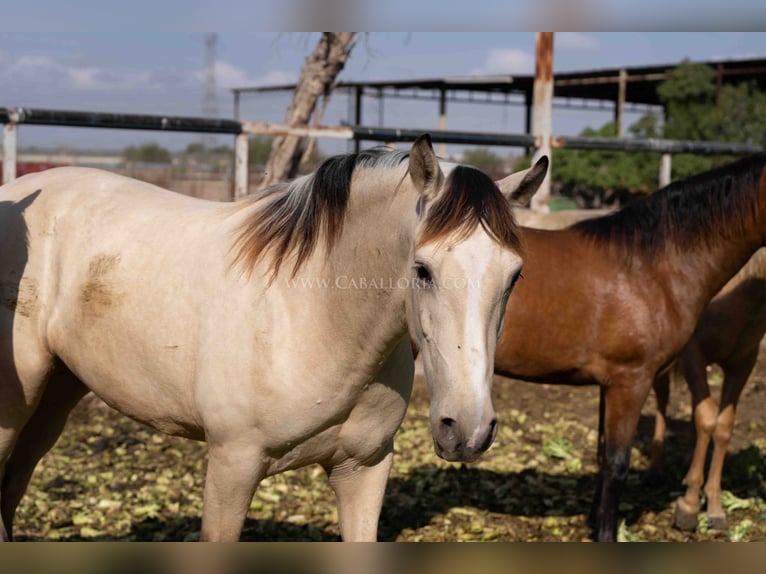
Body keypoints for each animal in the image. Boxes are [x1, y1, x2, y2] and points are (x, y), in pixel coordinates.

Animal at [0, 136, 552, 544]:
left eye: (516, 276)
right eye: (422, 269)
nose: (468, 429)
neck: (311, 318)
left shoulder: (364, 469)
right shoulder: (232, 467)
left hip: (56, 396)